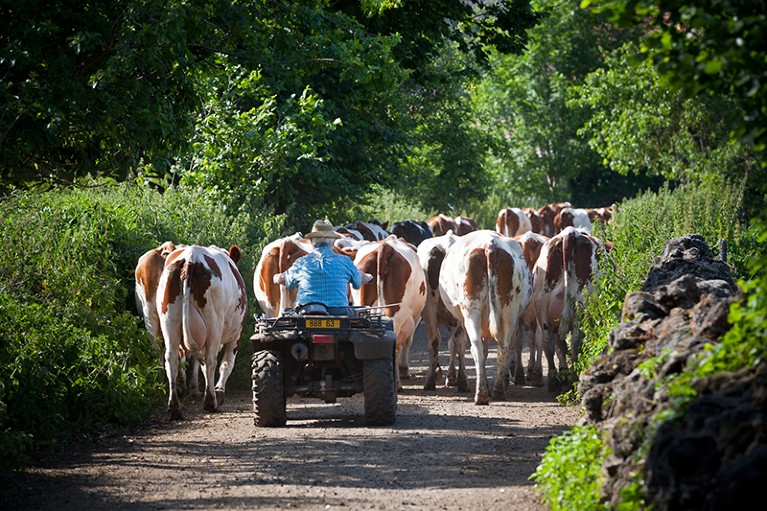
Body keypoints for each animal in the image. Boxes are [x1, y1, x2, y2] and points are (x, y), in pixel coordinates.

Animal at [158, 245, 248, 420]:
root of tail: (191, 257)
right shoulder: (236, 334)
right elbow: (226, 363)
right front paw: (219, 392)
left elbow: (201, 365)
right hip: (214, 323)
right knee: (211, 360)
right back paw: (210, 402)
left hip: (169, 321)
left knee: (171, 359)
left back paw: (175, 408)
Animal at [352, 238, 428, 390]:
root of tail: (384, 247)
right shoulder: (416, 317)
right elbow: (407, 342)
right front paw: (404, 370)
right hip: (396, 314)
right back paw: (397, 384)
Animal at [416, 231, 464, 392]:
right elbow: (453, 343)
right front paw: (450, 376)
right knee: (457, 341)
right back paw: (462, 380)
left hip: (429, 308)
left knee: (434, 341)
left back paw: (430, 380)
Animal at [440, 231, 532, 404]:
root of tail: (490, 245)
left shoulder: (462, 320)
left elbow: (461, 343)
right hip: (509, 311)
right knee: (503, 347)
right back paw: (498, 390)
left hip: (471, 310)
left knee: (476, 348)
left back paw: (481, 393)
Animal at [536, 228, 612, 392]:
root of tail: (571, 232)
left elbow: (559, 347)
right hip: (582, 308)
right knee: (576, 341)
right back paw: (574, 377)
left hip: (542, 306)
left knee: (549, 342)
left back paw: (554, 381)